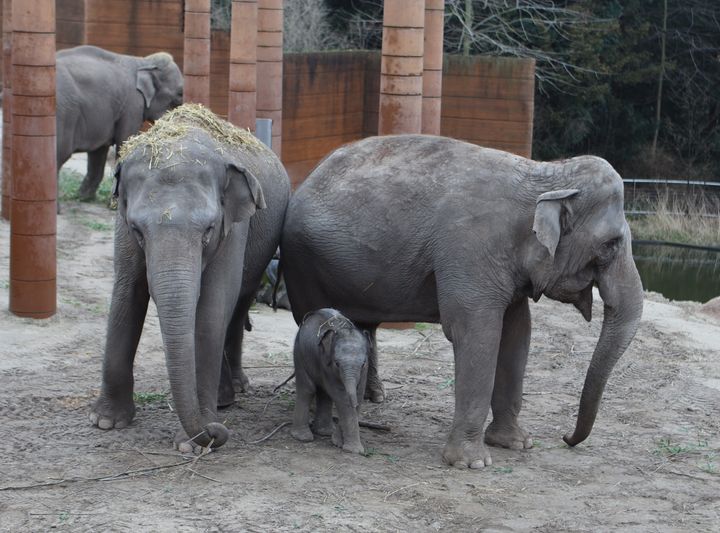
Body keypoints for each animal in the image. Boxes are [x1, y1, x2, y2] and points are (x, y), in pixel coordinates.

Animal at [57, 45, 184, 202]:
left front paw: (82, 198)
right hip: (65, 113)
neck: (143, 62)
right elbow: (124, 141)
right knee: (59, 155)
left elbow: (98, 152)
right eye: (179, 95)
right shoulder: (132, 105)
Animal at [90, 105, 290, 448]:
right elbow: (128, 292)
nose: (216, 433)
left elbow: (213, 305)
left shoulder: (233, 225)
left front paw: (195, 437)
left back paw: (234, 392)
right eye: (137, 230)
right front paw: (106, 422)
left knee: (239, 303)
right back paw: (225, 398)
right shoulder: (122, 224)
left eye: (208, 230)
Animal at [292, 308, 372, 454]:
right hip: (299, 352)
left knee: (324, 393)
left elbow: (358, 395)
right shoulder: (326, 362)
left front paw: (338, 442)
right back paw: (303, 437)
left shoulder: (365, 369)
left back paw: (325, 432)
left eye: (363, 364)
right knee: (307, 389)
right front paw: (354, 450)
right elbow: (342, 396)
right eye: (337, 363)